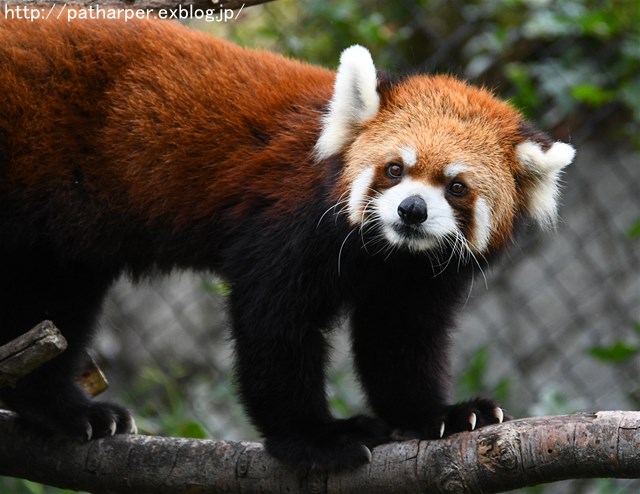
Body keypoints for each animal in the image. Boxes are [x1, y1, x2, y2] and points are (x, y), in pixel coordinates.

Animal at [0, 16, 576, 470]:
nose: (411, 210)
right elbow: (274, 326)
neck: (383, 253)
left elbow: (399, 338)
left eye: (456, 186)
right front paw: (315, 440)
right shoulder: (287, 224)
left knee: (57, 303)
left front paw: (440, 415)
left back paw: (63, 410)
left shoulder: (415, 276)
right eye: (395, 169)